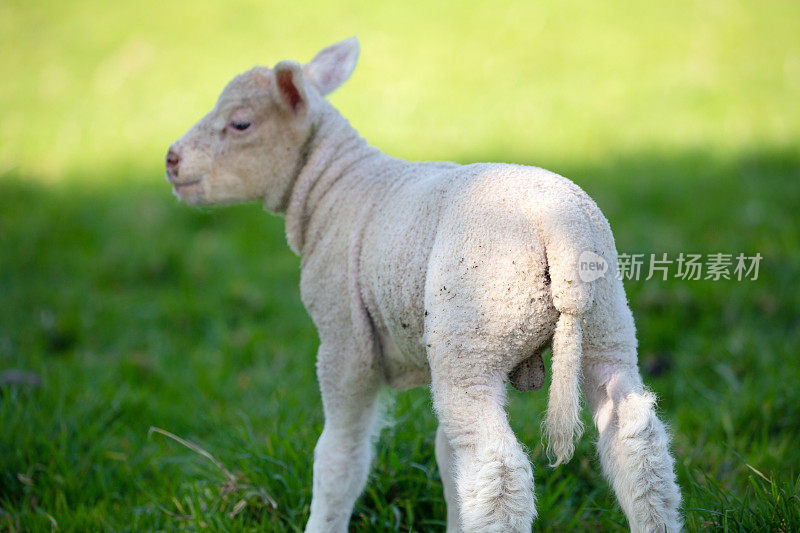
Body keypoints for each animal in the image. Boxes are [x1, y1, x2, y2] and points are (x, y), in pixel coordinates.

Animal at [162, 38, 680, 532]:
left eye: (241, 124)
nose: (170, 160)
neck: (331, 185)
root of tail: (558, 227)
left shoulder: (346, 342)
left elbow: (340, 458)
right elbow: (447, 460)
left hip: (474, 332)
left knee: (496, 470)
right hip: (603, 323)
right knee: (637, 442)